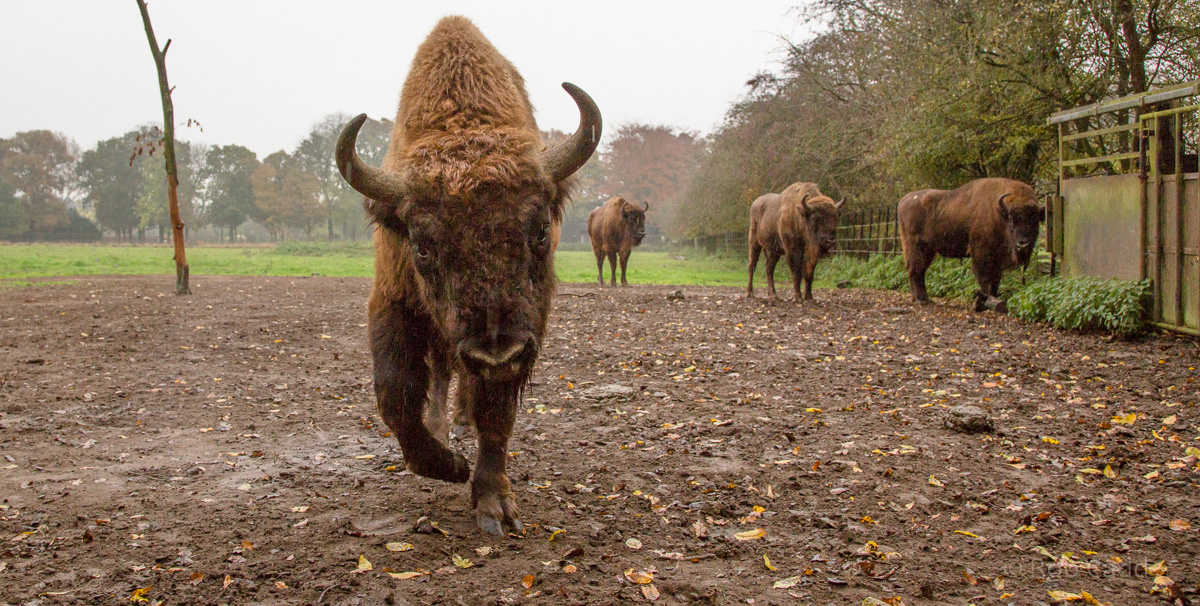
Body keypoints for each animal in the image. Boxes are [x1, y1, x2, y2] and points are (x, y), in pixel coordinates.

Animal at [334, 16, 601, 535]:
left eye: (541, 228)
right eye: (421, 243)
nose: (495, 352)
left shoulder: (527, 334)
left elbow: (496, 412)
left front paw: (494, 505)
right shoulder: (391, 300)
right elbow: (395, 395)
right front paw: (448, 466)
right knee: (441, 371)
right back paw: (443, 426)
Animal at [897, 178, 1043, 311]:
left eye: (1034, 221)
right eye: (1012, 219)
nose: (1022, 245)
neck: (998, 213)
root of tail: (902, 201)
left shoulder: (997, 258)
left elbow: (995, 280)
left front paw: (993, 300)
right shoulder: (981, 252)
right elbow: (984, 278)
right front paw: (980, 304)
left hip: (928, 250)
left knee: (920, 271)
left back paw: (926, 299)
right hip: (915, 247)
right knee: (914, 270)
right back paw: (918, 300)